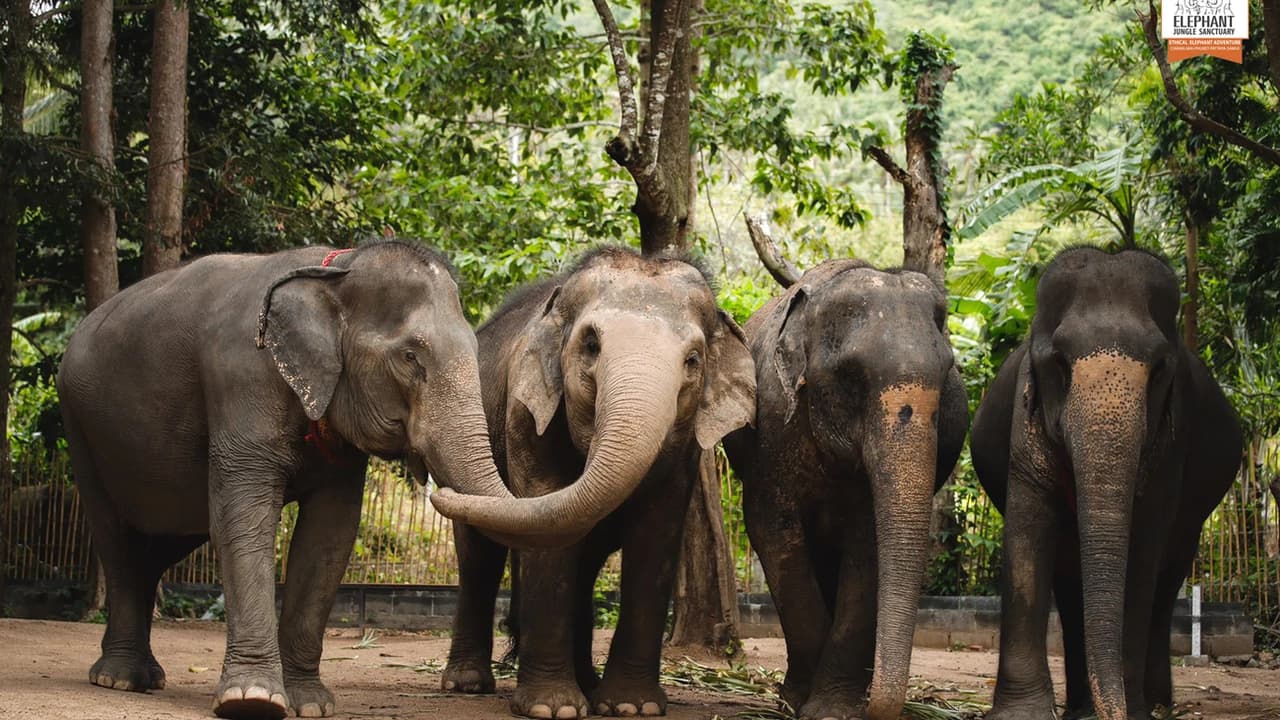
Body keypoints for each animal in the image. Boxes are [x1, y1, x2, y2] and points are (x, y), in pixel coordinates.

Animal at [56, 240, 579, 720]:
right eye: (411, 357)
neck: (335, 271)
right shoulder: (242, 377)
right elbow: (245, 518)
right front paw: (252, 701)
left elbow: (329, 535)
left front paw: (309, 704)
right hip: (81, 428)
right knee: (116, 538)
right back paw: (121, 679)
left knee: (160, 544)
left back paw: (142, 675)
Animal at [430, 246, 756, 719]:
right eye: (591, 345)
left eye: (693, 361)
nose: (439, 492)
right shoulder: (524, 413)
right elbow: (547, 509)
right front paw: (552, 709)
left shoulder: (686, 451)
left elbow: (655, 536)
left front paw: (632, 707)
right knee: (479, 558)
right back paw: (467, 684)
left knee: (581, 566)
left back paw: (587, 681)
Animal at [722, 259, 968, 720]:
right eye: (852, 377)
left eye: (948, 378)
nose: (879, 707)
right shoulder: (774, 432)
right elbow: (772, 530)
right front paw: (796, 702)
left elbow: (868, 545)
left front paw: (832, 709)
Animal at [969, 247, 1242, 720]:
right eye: (1059, 363)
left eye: (1159, 369)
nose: (1114, 711)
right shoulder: (1024, 427)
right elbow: (1027, 538)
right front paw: (1021, 714)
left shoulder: (1172, 441)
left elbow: (1143, 548)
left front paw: (1131, 712)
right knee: (1068, 580)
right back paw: (1083, 708)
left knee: (1168, 576)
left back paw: (1154, 704)